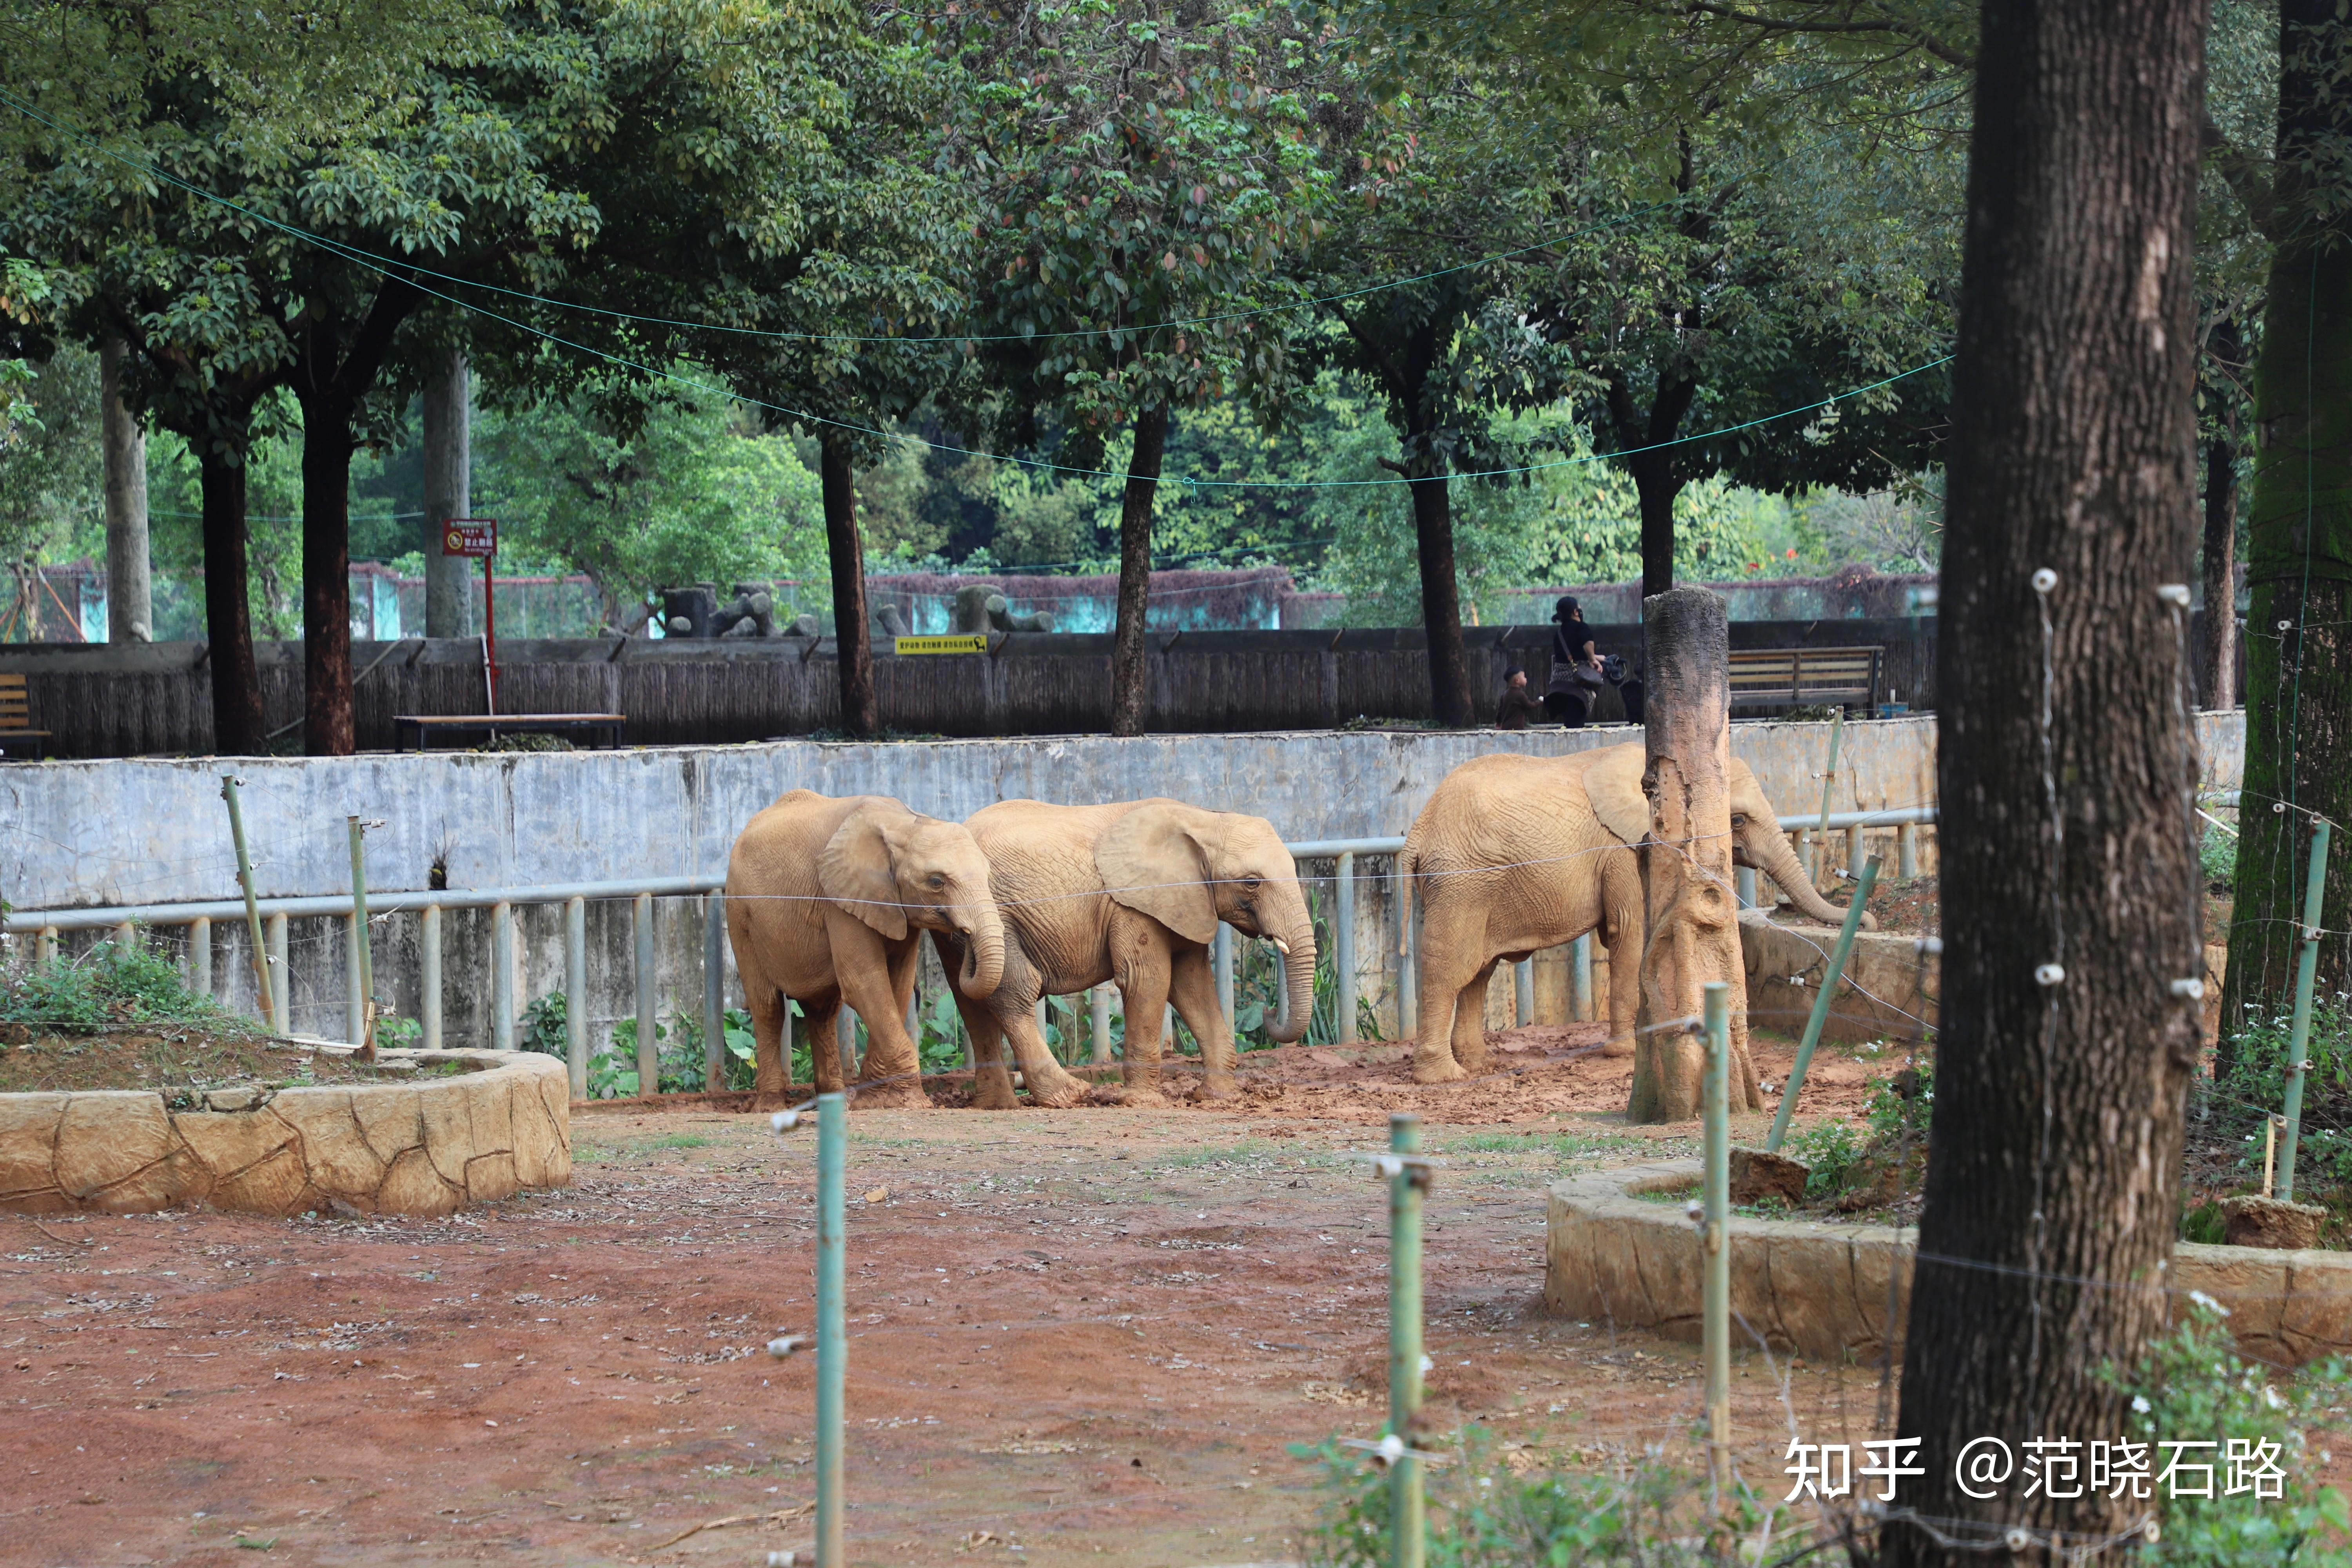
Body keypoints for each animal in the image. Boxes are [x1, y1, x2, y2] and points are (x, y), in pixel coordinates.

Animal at [720, 789, 1007, 1109]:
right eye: (936, 882)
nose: (965, 935)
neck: (906, 822)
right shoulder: (840, 899)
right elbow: (864, 983)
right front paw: (913, 1102)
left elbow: (897, 985)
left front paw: (874, 1099)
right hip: (740, 914)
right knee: (767, 1007)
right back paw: (771, 1105)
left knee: (823, 1011)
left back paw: (835, 1101)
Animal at [941, 799, 1327, 1114]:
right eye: (1252, 882)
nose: (1269, 1011)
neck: (1203, 819)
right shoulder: (1133, 904)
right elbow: (1149, 980)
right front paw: (1141, 1100)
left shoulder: (1187, 901)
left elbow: (1192, 987)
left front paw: (1217, 1098)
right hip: (994, 912)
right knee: (1013, 992)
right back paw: (1069, 1096)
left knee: (971, 1002)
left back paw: (998, 1105)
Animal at [1383, 743, 1863, 1086]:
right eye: (1740, 820)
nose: (1868, 918)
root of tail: (1417, 830)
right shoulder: (1627, 850)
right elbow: (1629, 933)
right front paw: (1627, 1054)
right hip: (1461, 882)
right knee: (1451, 970)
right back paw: (1444, 1077)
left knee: (1479, 972)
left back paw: (1478, 1063)